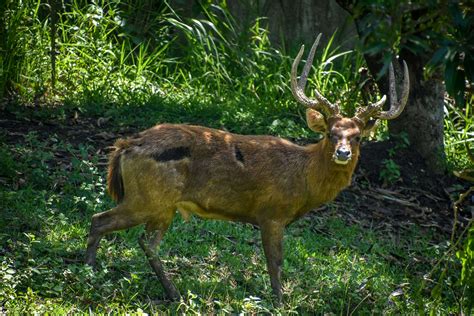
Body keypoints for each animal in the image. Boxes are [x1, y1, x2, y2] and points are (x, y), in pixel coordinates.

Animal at [86, 34, 412, 304]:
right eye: (331, 133)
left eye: (357, 137)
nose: (343, 152)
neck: (304, 178)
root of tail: (126, 145)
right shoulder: (272, 213)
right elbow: (275, 262)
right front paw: (280, 302)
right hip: (148, 197)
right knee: (100, 219)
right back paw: (92, 270)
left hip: (161, 205)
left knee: (141, 239)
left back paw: (167, 291)